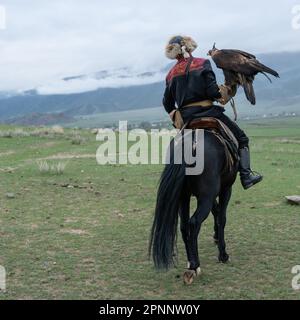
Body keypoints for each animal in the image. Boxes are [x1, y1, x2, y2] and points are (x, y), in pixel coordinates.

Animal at [149, 129, 238, 284]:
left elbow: (216, 212)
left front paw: (215, 237)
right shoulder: (225, 189)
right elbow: (222, 218)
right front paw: (223, 254)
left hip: (183, 196)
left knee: (184, 226)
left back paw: (191, 262)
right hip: (206, 196)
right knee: (194, 222)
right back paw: (195, 266)